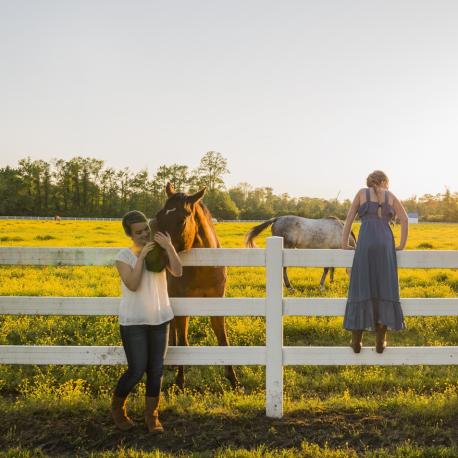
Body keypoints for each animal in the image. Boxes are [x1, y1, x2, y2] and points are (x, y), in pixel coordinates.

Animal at [154, 182, 240, 390]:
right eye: (158, 216)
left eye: (182, 219)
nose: (156, 256)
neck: (203, 266)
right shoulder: (182, 303)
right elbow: (184, 342)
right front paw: (179, 382)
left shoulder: (217, 303)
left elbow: (223, 339)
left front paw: (233, 380)